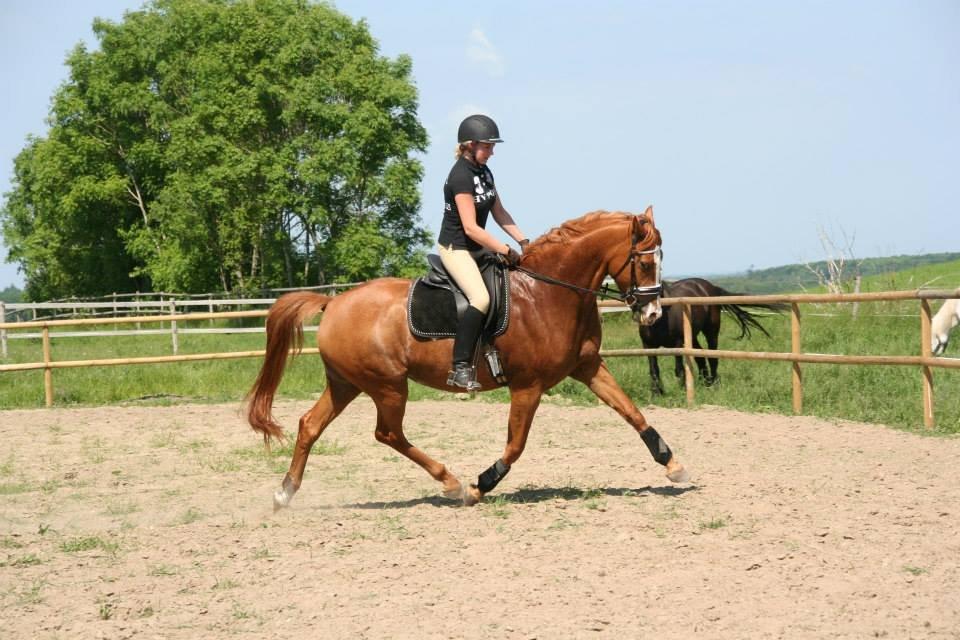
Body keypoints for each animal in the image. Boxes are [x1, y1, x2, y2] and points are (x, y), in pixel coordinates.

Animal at [244, 208, 688, 508]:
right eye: (645, 261)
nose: (652, 314)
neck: (548, 292)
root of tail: (333, 303)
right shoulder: (528, 386)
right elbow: (516, 444)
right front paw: (481, 484)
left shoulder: (588, 367)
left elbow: (631, 412)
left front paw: (671, 463)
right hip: (387, 385)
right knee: (388, 433)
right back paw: (452, 482)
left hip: (347, 383)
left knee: (310, 425)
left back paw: (285, 493)